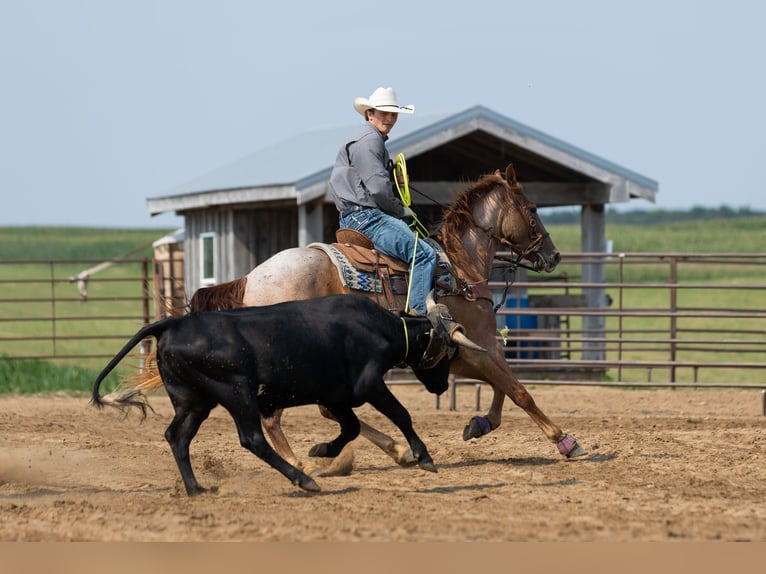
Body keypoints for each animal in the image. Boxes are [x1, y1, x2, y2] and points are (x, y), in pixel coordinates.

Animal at [165, 165, 587, 472]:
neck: (461, 270)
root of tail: (251, 279)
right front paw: (566, 442)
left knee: (315, 410)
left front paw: (479, 424)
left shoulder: (471, 351)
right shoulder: (470, 349)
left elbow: (504, 387)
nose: (553, 255)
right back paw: (305, 464)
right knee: (276, 418)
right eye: (532, 209)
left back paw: (393, 451)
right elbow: (518, 390)